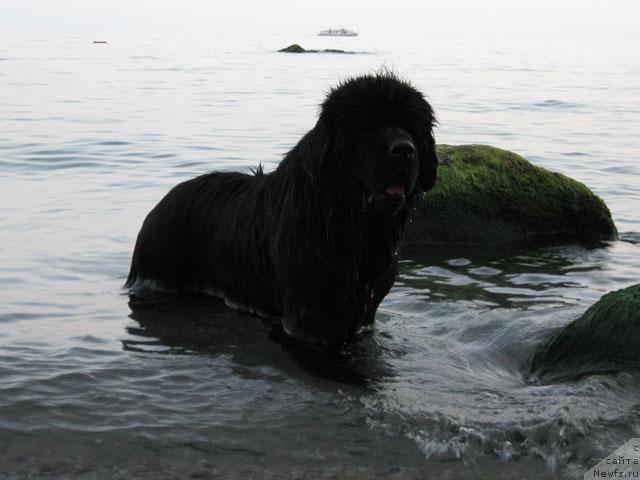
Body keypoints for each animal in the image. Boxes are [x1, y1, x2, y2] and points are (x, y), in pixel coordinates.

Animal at [126, 71, 436, 348]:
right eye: (367, 125)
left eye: (412, 126)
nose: (404, 149)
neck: (348, 224)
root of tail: (156, 208)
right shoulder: (308, 316)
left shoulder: (364, 313)